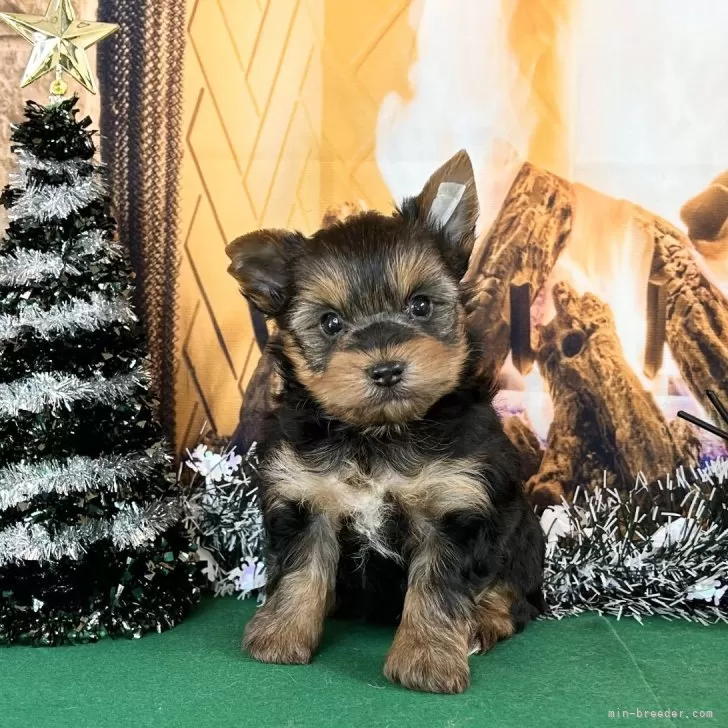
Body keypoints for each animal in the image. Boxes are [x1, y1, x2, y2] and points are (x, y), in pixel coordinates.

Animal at [225, 148, 544, 692]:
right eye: (330, 323)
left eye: (420, 305)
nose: (387, 368)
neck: (377, 433)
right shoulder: (307, 496)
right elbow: (300, 570)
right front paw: (280, 635)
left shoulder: (456, 505)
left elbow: (438, 586)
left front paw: (426, 660)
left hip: (523, 533)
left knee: (512, 592)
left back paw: (482, 622)